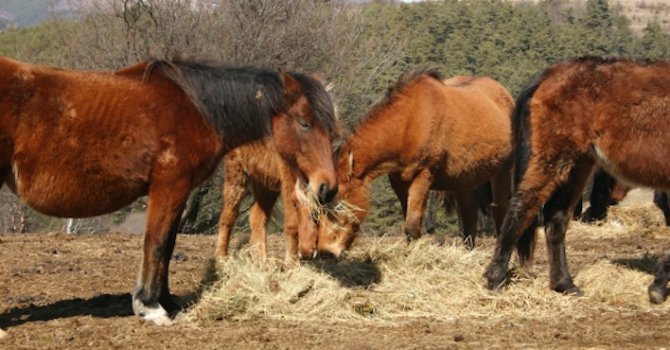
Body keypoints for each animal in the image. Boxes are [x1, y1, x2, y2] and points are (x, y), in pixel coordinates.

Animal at [0, 57, 338, 328]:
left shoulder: (181, 191)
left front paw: (168, 300)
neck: (195, 109)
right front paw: (150, 306)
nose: (327, 187)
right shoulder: (168, 187)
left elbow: (169, 245)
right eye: (305, 123)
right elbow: (156, 243)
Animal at [308, 72, 516, 258]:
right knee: (469, 216)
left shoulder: (422, 176)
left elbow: (412, 225)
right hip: (464, 181)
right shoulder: (399, 183)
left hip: (501, 174)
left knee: (499, 212)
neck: (410, 122)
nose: (326, 252)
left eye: (338, 204)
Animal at [486, 56, 670, 304]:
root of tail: (550, 74)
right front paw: (658, 287)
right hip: (553, 158)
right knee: (522, 206)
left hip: (577, 164)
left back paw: (564, 284)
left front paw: (659, 285)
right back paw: (496, 278)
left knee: (556, 219)